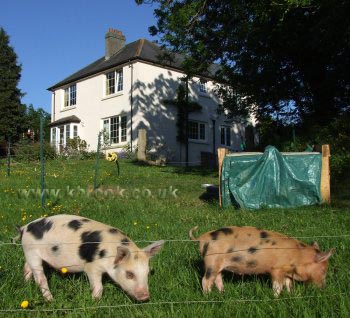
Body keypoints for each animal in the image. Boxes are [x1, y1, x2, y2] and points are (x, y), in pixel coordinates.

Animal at [16, 214, 164, 300]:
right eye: (129, 274)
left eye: (148, 273)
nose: (145, 296)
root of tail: (25, 227)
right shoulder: (92, 266)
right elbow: (98, 287)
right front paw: (95, 302)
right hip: (31, 252)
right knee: (41, 278)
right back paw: (50, 300)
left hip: (30, 254)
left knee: (27, 268)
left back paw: (25, 283)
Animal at [190, 226, 334, 296]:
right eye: (323, 270)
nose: (324, 287)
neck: (297, 256)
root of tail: (202, 238)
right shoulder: (276, 269)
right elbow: (278, 285)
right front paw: (276, 297)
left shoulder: (287, 272)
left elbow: (288, 283)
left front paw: (291, 294)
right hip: (211, 262)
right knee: (205, 280)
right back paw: (208, 296)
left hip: (218, 265)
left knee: (218, 279)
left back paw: (222, 294)